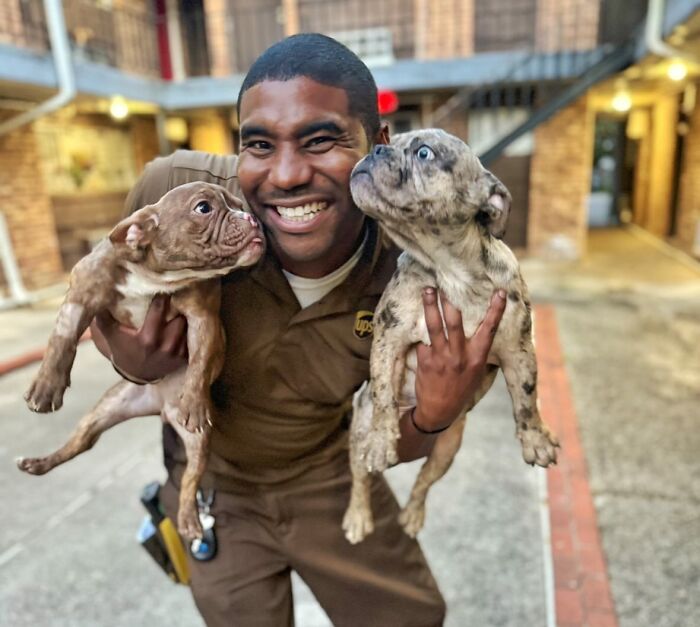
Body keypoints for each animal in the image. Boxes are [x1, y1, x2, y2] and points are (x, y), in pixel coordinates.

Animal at [19, 182, 266, 540]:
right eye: (203, 208)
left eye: (239, 204)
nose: (251, 218)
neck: (156, 275)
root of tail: (159, 408)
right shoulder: (82, 295)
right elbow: (62, 339)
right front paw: (46, 387)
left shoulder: (203, 319)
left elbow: (199, 363)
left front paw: (194, 400)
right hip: (103, 410)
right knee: (81, 443)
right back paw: (39, 463)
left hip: (197, 442)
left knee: (191, 478)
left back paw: (189, 520)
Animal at [342, 129, 560, 544]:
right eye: (390, 140)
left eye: (424, 153)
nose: (375, 149)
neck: (451, 271)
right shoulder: (389, 337)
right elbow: (383, 390)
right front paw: (381, 438)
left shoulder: (518, 347)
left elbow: (527, 396)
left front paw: (536, 438)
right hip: (357, 432)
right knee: (360, 476)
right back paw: (359, 514)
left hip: (447, 447)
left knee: (423, 483)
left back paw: (412, 516)